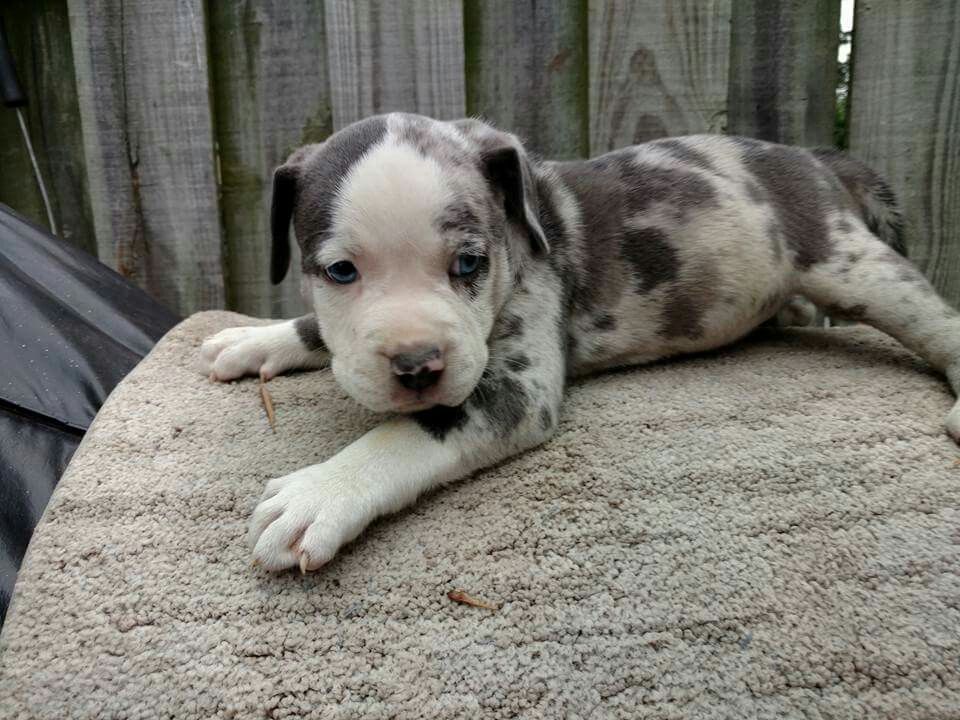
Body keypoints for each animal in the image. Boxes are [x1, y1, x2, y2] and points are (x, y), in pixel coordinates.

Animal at [197, 114, 960, 572]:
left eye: (468, 264)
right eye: (340, 272)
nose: (417, 366)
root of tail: (813, 156)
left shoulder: (513, 387)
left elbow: (416, 430)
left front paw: (322, 492)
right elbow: (316, 331)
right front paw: (252, 339)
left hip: (852, 264)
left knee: (935, 320)